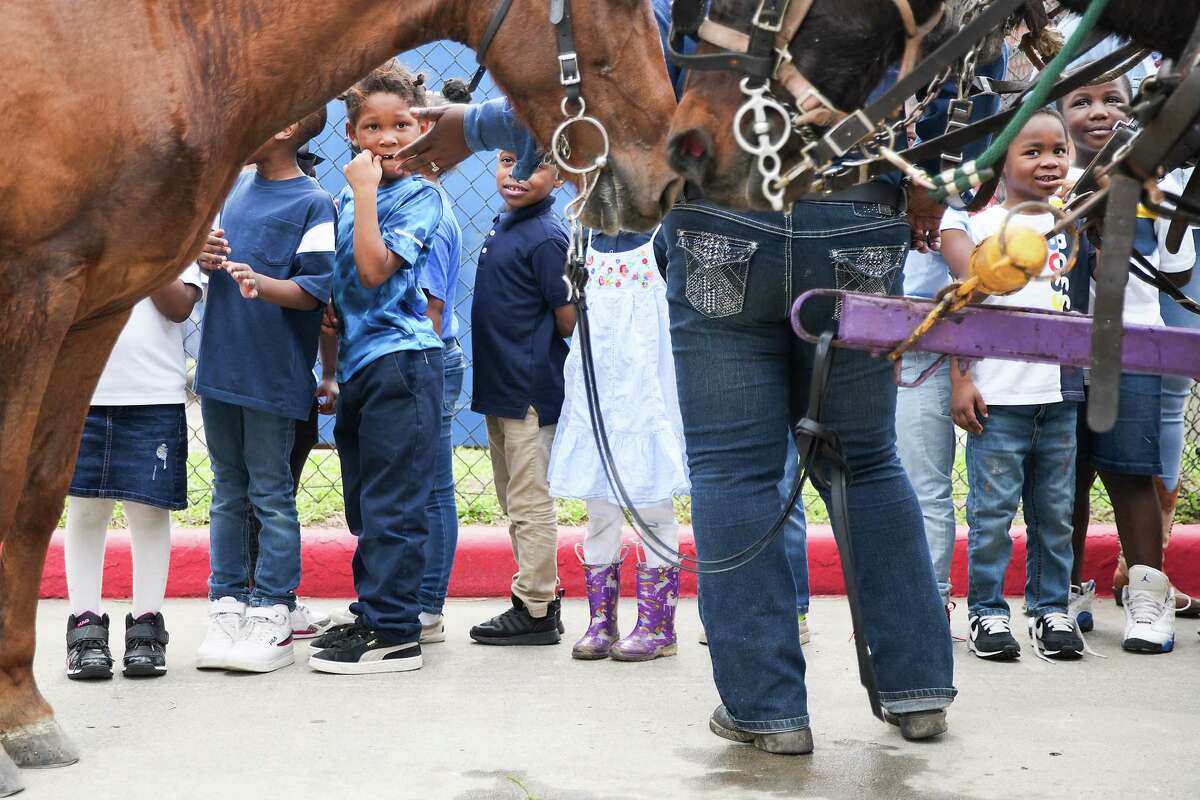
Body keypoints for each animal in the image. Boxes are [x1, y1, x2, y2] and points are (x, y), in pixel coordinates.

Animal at [0, 0, 681, 786]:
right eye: (626, 9)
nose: (667, 175)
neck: (161, 44)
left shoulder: (89, 311)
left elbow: (34, 499)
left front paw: (22, 716)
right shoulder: (35, 292)